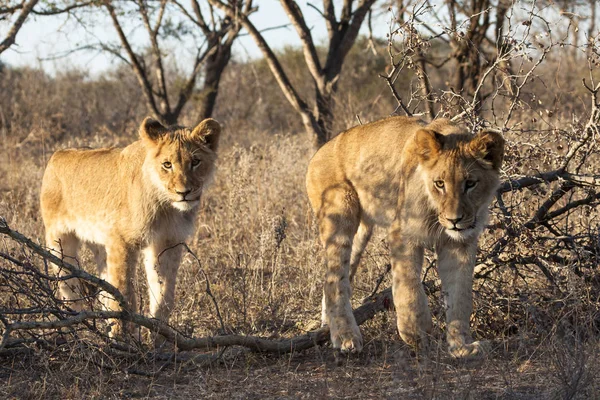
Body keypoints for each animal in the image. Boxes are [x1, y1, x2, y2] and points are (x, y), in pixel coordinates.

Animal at [41, 117, 221, 336]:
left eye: (195, 162)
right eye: (167, 164)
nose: (184, 192)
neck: (166, 207)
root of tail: (57, 154)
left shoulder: (168, 242)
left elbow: (163, 296)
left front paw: (160, 336)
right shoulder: (122, 242)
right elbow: (125, 295)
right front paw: (126, 339)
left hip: (101, 245)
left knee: (104, 289)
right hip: (59, 240)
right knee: (69, 288)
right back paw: (75, 331)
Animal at [308, 115, 504, 356]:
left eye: (470, 183)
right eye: (440, 184)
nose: (454, 220)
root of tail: (319, 152)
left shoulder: (460, 244)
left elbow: (460, 295)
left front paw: (462, 347)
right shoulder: (402, 234)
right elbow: (408, 287)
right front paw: (415, 333)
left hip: (362, 231)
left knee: (341, 275)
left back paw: (329, 325)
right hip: (340, 213)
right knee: (333, 279)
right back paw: (346, 337)